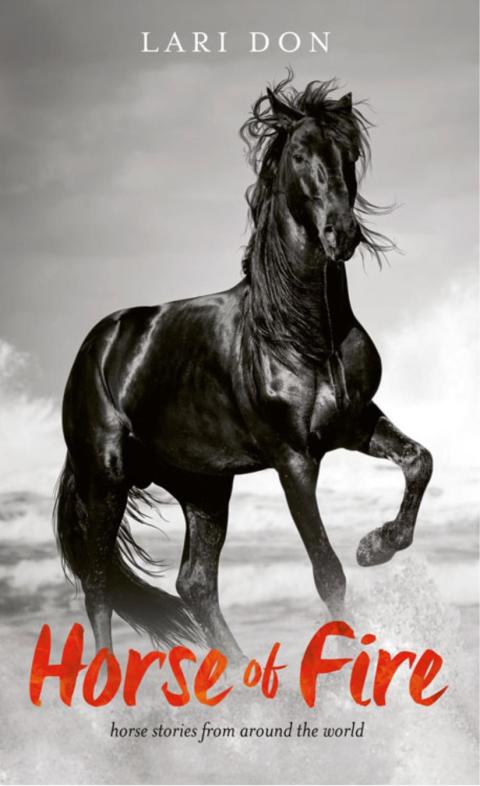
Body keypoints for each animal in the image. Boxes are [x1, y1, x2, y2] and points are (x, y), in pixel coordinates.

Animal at [55, 75, 433, 664]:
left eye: (348, 153)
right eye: (299, 155)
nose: (342, 233)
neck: (302, 332)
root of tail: (97, 345)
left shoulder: (356, 425)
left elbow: (419, 462)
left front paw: (376, 546)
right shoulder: (293, 459)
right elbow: (327, 572)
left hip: (203, 488)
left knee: (195, 584)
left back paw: (243, 677)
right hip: (106, 476)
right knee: (98, 588)